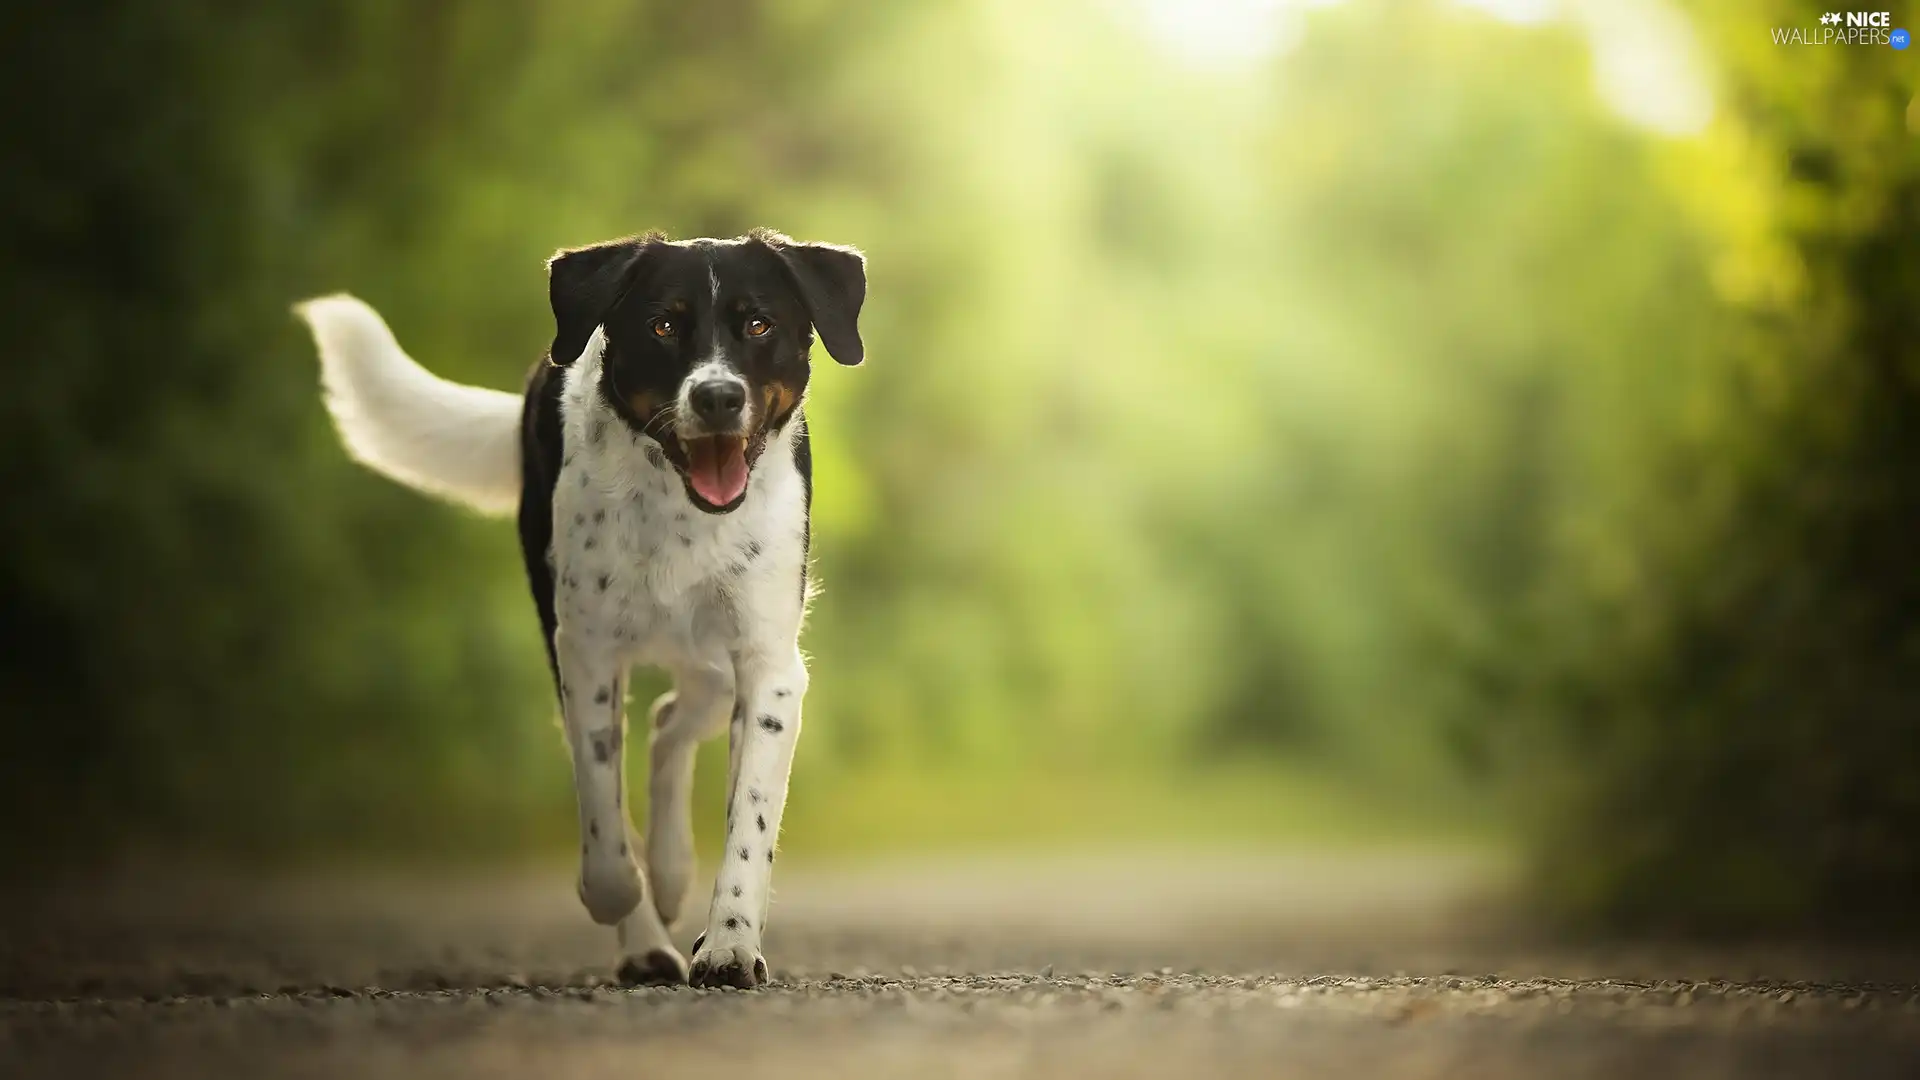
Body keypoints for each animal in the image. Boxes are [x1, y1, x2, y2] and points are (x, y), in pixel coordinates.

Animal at [295, 226, 867, 983]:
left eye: (759, 325)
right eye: (662, 326)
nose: (717, 397)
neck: (679, 510)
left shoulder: (770, 665)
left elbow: (749, 823)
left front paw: (730, 943)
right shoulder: (584, 649)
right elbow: (601, 807)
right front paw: (623, 899)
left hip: (719, 662)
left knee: (669, 723)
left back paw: (674, 874)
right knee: (654, 732)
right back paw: (651, 924)